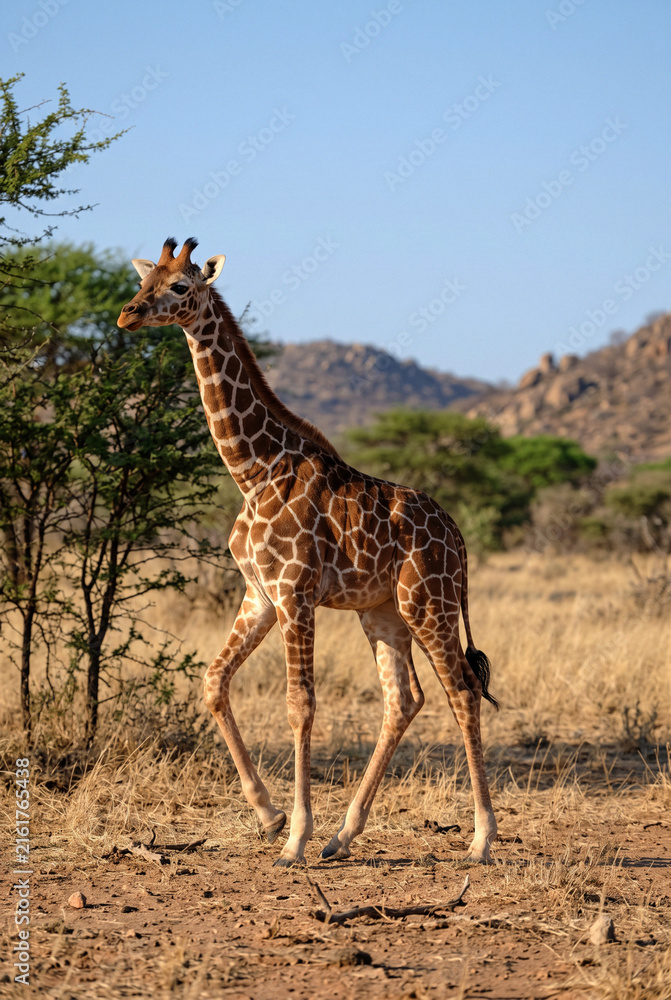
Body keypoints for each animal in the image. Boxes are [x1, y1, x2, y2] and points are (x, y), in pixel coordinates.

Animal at [117, 237, 498, 867]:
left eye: (181, 286)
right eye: (147, 279)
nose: (127, 314)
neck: (253, 470)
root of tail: (460, 538)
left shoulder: (296, 593)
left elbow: (300, 704)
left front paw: (294, 836)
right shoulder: (260, 595)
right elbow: (213, 682)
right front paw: (269, 816)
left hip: (429, 604)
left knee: (462, 694)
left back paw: (482, 838)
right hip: (382, 612)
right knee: (405, 699)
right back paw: (344, 835)